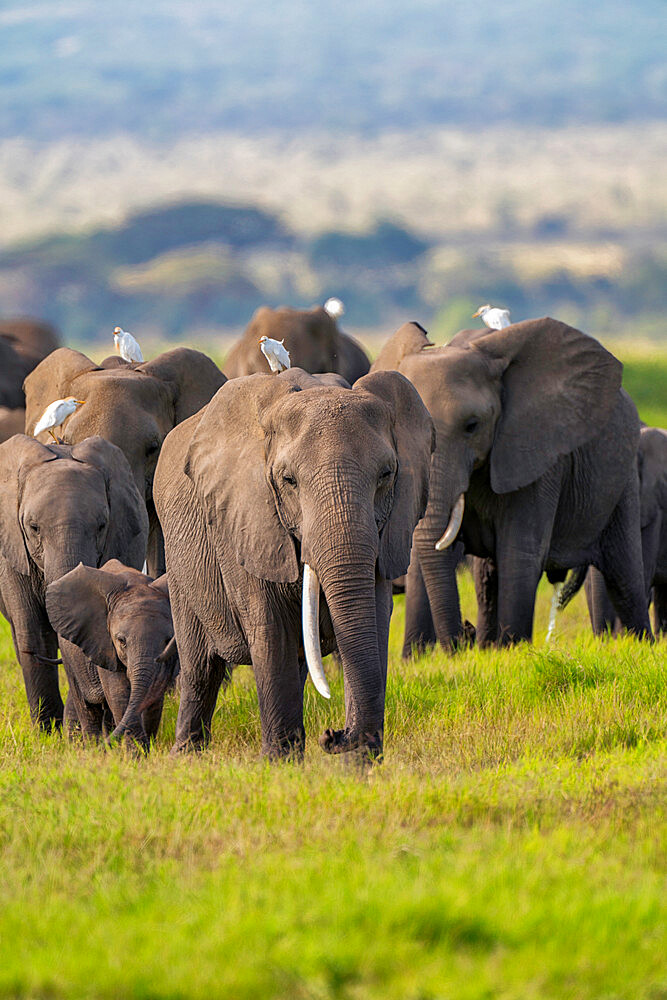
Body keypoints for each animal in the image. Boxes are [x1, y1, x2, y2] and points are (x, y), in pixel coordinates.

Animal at [0, 434, 147, 732]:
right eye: (33, 528)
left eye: (101, 526)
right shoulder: (12, 552)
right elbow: (34, 635)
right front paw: (47, 734)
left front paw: (72, 731)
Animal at [45, 560, 179, 748]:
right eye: (121, 641)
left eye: (168, 640)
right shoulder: (104, 645)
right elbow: (119, 695)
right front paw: (138, 752)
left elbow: (153, 698)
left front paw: (146, 748)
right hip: (69, 656)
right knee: (87, 707)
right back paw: (91, 747)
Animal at [154, 368, 436, 756]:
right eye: (289, 481)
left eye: (386, 475)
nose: (332, 734)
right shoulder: (246, 520)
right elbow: (271, 632)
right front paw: (280, 762)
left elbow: (374, 624)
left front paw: (361, 760)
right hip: (180, 559)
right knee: (199, 666)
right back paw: (186, 756)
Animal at [374, 316, 656, 652]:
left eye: (472, 426)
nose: (464, 636)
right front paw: (422, 657)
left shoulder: (535, 451)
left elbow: (520, 551)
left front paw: (515, 649)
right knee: (487, 578)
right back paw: (487, 646)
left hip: (623, 475)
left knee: (624, 575)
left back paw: (643, 645)